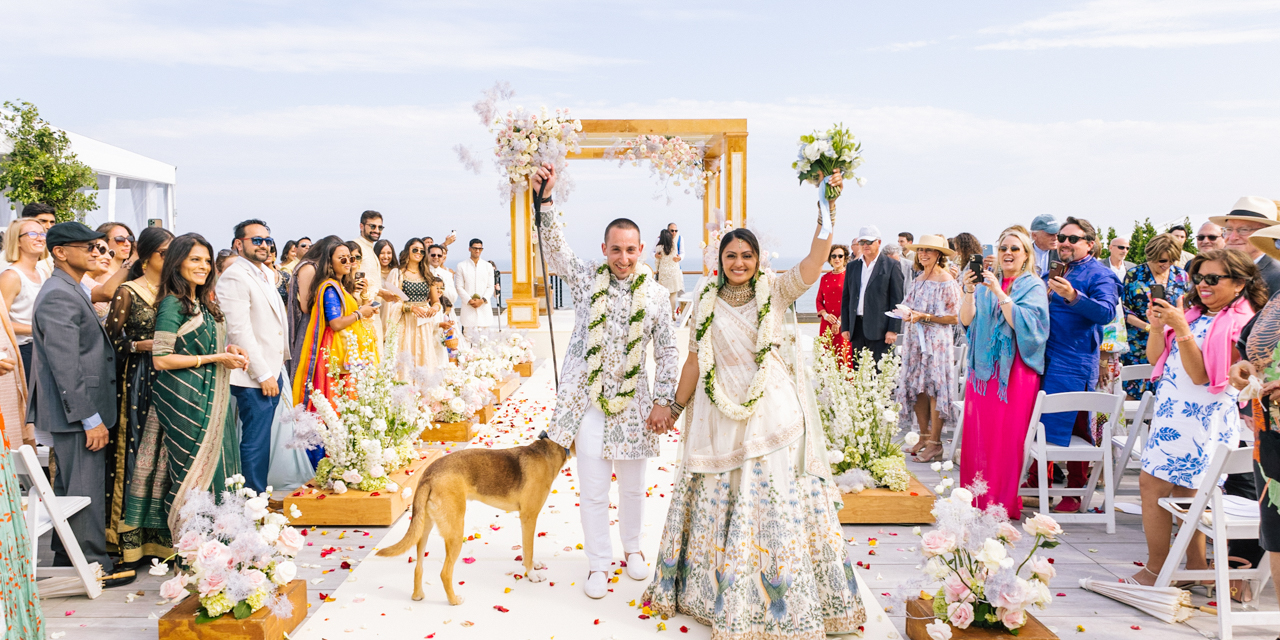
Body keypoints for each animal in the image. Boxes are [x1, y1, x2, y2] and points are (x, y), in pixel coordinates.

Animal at [373, 435, 568, 604]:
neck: (547, 451)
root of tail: (429, 475)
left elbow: (528, 550)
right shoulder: (529, 517)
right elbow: (529, 551)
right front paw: (532, 574)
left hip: (424, 529)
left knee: (418, 567)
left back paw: (417, 595)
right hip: (456, 532)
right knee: (445, 573)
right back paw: (454, 601)